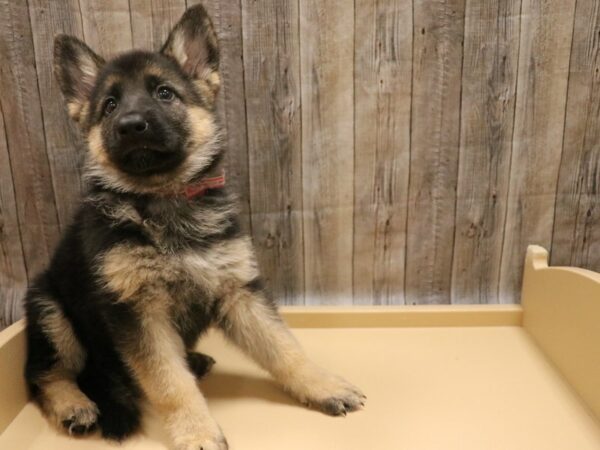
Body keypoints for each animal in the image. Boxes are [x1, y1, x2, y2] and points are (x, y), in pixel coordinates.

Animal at [23, 4, 364, 450]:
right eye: (110, 105)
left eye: (164, 93)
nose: (130, 124)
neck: (164, 198)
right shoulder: (139, 313)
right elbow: (170, 382)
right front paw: (196, 430)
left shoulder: (240, 292)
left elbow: (284, 347)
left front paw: (323, 385)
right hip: (51, 312)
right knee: (45, 375)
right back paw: (73, 404)